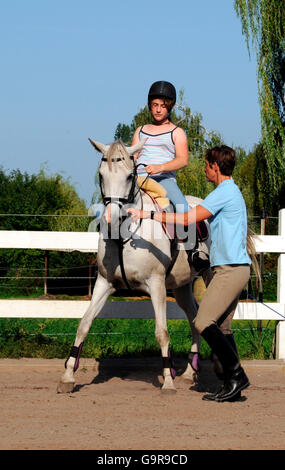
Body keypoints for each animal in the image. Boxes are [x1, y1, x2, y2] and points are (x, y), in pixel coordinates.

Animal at [57, 139, 211, 392]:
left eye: (130, 176)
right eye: (101, 174)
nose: (110, 218)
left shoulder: (156, 285)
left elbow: (162, 333)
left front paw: (168, 381)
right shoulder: (104, 283)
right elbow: (84, 324)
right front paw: (68, 377)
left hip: (210, 274)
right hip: (181, 286)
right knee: (194, 317)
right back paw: (190, 372)